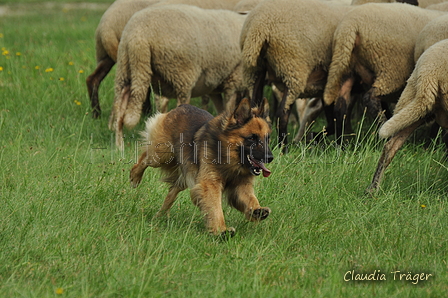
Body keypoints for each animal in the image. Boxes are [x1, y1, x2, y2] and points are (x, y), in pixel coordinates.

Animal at [110, 4, 247, 149]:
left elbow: (221, 110)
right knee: (181, 105)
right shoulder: (233, 79)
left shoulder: (214, 87)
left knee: (120, 108)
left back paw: (119, 146)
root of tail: (138, 34)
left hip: (126, 69)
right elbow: (229, 109)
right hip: (181, 71)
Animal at [130, 99, 272, 236]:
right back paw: (135, 177)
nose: (270, 157)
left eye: (267, 139)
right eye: (252, 138)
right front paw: (221, 230)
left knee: (172, 191)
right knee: (144, 159)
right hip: (161, 155)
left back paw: (161, 215)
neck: (227, 156)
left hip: (187, 175)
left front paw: (257, 210)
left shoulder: (240, 185)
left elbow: (249, 198)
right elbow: (215, 207)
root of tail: (182, 106)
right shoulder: (209, 183)